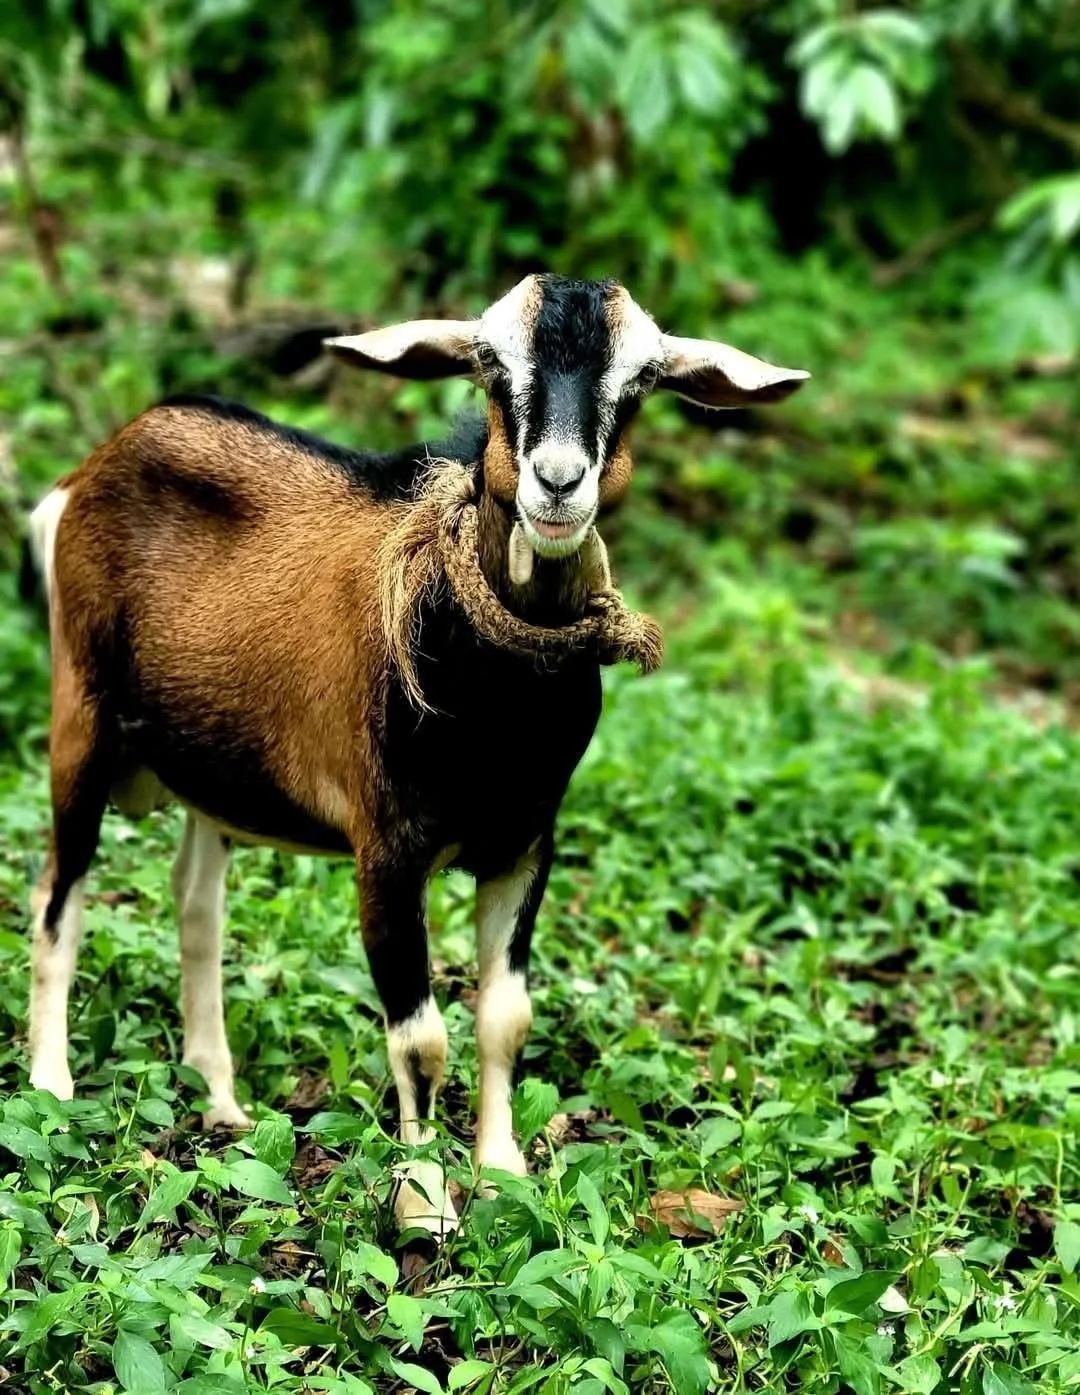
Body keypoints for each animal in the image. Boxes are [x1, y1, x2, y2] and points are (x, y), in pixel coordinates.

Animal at [26, 274, 808, 1235]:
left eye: (639, 382)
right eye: (490, 364)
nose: (558, 483)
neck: (495, 710)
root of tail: (88, 472)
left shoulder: (525, 843)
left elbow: (506, 1016)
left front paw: (504, 1171)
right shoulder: (387, 851)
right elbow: (421, 1037)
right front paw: (425, 1205)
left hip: (215, 768)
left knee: (196, 905)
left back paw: (221, 1099)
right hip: (81, 714)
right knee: (58, 895)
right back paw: (52, 1083)